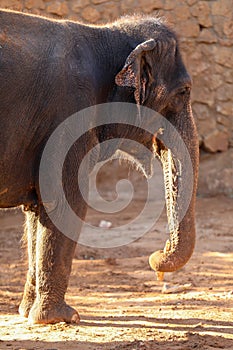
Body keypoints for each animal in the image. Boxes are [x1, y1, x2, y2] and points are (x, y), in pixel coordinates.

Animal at [0, 9, 199, 324]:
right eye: (183, 91)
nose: (156, 257)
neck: (104, 35)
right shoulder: (68, 117)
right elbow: (66, 202)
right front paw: (63, 318)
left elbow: (36, 209)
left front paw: (28, 314)